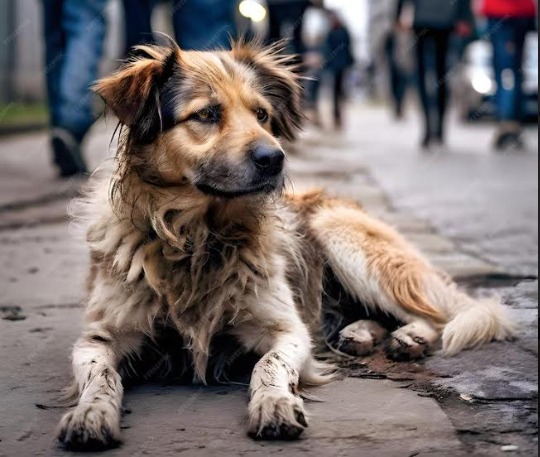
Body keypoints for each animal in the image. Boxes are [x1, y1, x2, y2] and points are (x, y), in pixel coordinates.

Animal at [57, 40, 516, 448]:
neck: (198, 238)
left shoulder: (288, 331)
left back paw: (409, 338)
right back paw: (359, 334)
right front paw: (89, 414)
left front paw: (275, 404)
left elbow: (268, 364)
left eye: (261, 114)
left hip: (342, 235)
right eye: (206, 114)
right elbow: (101, 377)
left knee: (432, 314)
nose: (274, 158)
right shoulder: (98, 338)